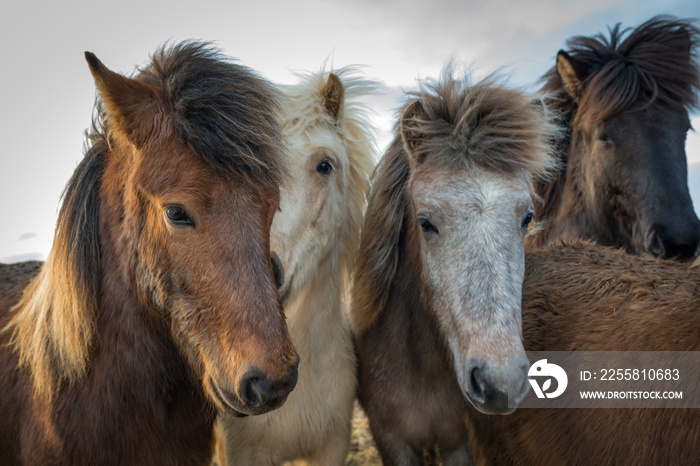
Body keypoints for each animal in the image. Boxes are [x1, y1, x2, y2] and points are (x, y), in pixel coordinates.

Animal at [352, 70, 560, 466]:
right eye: (425, 222)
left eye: (527, 217)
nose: (499, 383)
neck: (422, 369)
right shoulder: (391, 440)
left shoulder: (458, 441)